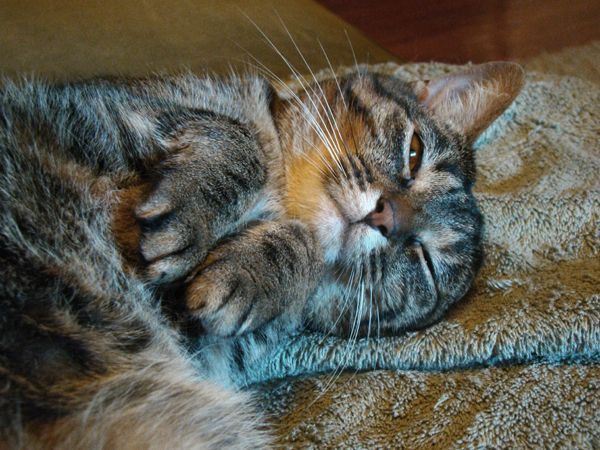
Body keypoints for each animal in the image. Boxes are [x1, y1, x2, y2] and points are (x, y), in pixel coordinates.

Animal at [0, 61, 524, 448]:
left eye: (425, 263)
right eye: (414, 153)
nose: (386, 217)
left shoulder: (201, 335)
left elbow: (305, 251)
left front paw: (257, 267)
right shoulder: (116, 107)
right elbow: (239, 136)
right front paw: (195, 206)